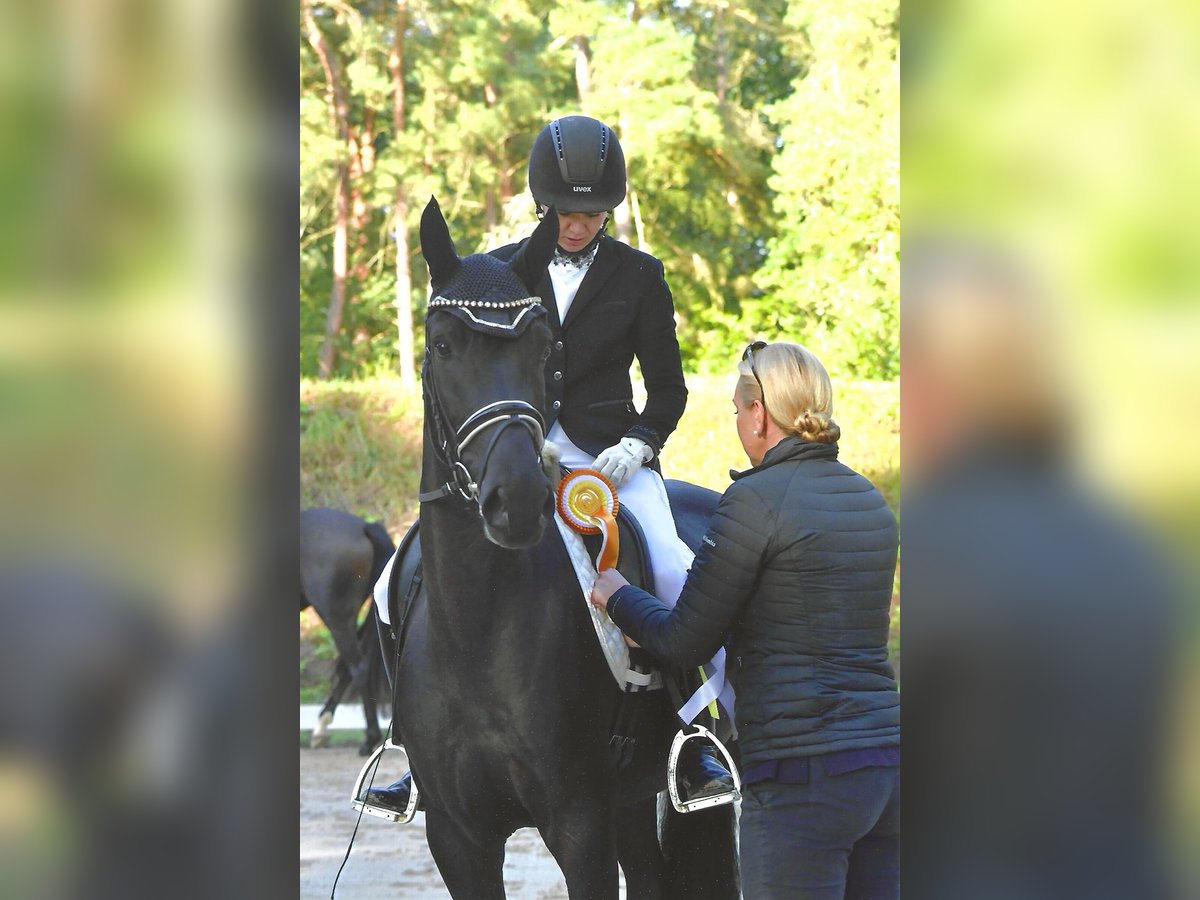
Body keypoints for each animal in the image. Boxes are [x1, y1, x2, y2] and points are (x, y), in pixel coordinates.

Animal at [384, 199, 739, 900]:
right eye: (442, 346)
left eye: (542, 348)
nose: (518, 500)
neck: (477, 627)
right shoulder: (457, 837)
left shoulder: (579, 822)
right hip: (633, 802)